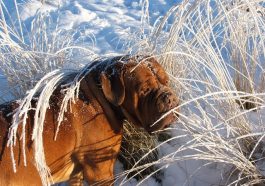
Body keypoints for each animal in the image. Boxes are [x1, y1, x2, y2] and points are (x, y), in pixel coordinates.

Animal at [0, 56, 178, 185]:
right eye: (144, 90)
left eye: (166, 81)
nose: (170, 98)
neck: (101, 98)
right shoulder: (100, 172)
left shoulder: (76, 174)